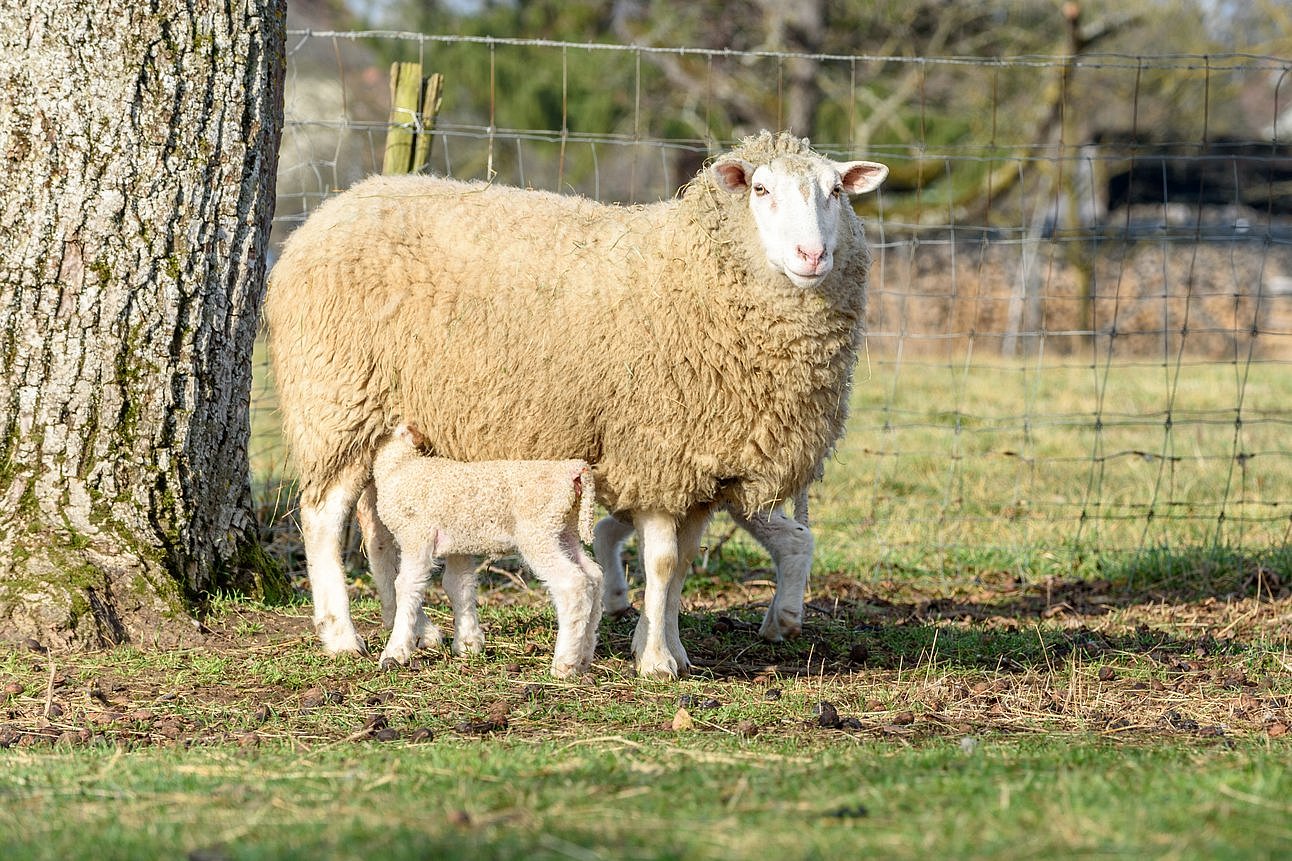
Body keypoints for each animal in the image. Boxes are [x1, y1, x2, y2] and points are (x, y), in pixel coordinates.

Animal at [369, 421, 599, 677]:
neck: (400, 466)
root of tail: (573, 471)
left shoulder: (417, 537)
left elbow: (407, 586)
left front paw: (395, 651)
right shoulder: (457, 545)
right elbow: (459, 586)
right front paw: (468, 644)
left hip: (538, 533)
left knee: (573, 585)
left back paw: (564, 663)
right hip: (565, 532)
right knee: (594, 577)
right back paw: (584, 657)